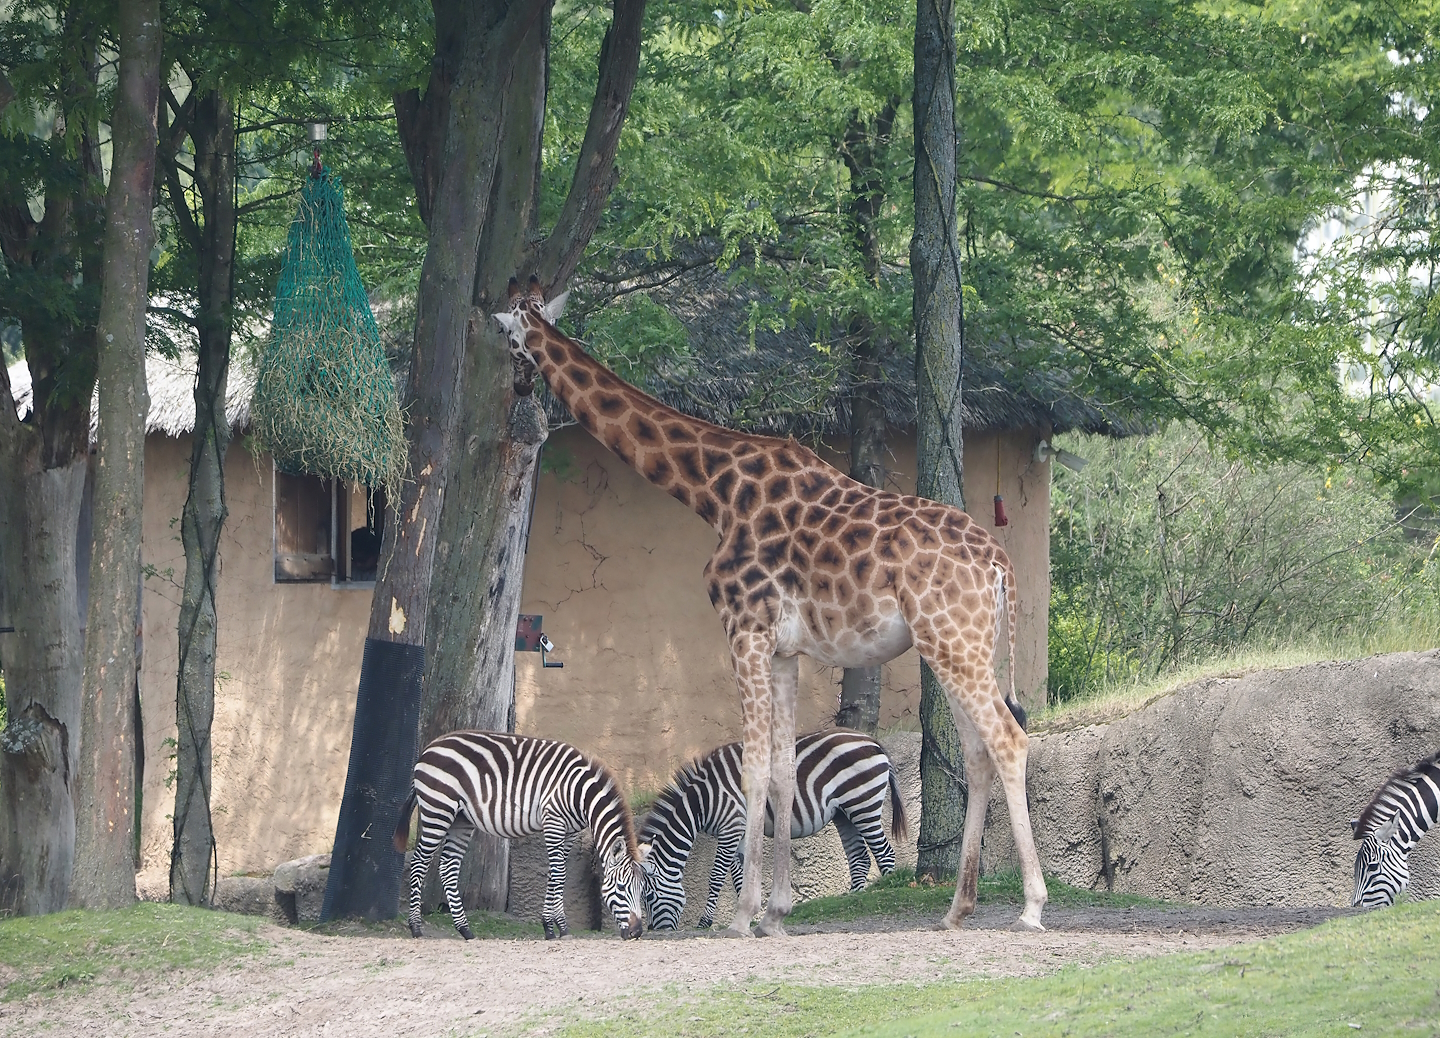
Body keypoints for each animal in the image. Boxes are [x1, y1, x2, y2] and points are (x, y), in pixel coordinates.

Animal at [393, 730, 649, 940]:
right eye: (622, 888)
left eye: (642, 889)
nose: (637, 932)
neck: (580, 794)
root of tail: (428, 748)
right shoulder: (553, 821)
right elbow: (559, 873)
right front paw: (556, 927)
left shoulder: (569, 832)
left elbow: (557, 874)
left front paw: (554, 926)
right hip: (438, 809)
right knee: (419, 863)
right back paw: (416, 927)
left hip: (461, 820)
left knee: (448, 867)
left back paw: (465, 929)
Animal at [639, 729, 908, 930]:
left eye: (648, 897)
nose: (654, 930)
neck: (702, 801)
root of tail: (872, 740)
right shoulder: (740, 831)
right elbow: (740, 876)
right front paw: (748, 914)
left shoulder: (731, 827)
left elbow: (716, 877)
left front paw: (705, 921)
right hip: (844, 813)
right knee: (860, 857)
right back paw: (854, 897)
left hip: (862, 803)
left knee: (885, 853)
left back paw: (885, 893)